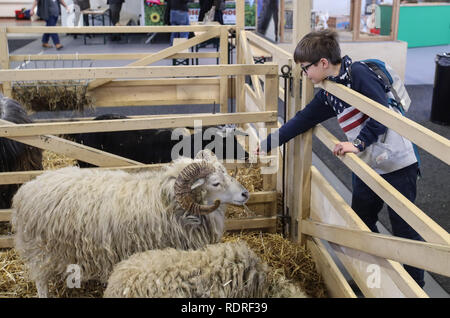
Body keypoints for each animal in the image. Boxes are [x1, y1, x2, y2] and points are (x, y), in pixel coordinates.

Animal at [11, 150, 250, 298]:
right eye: (215, 183)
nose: (246, 194)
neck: (167, 202)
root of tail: (25, 190)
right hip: (41, 252)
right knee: (40, 281)